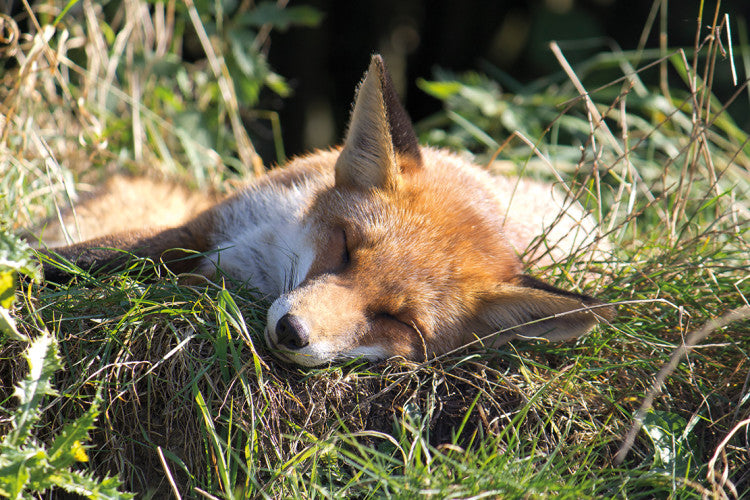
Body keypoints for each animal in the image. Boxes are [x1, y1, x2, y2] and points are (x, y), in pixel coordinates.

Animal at [38, 55, 616, 368]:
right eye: (344, 248)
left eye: (397, 321)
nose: (293, 332)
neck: (264, 260)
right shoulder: (202, 227)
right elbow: (86, 256)